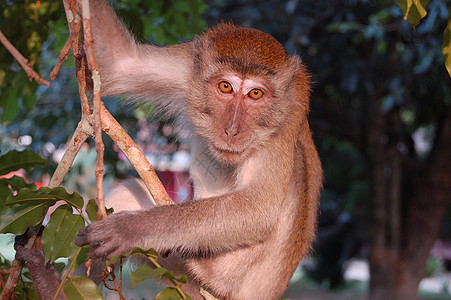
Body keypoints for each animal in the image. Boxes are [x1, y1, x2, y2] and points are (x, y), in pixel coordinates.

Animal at [72, 1, 324, 298]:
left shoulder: (285, 118)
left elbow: (257, 206)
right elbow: (120, 64)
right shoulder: (186, 67)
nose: (232, 130)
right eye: (225, 86)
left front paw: (130, 229)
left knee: (296, 167)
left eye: (255, 94)